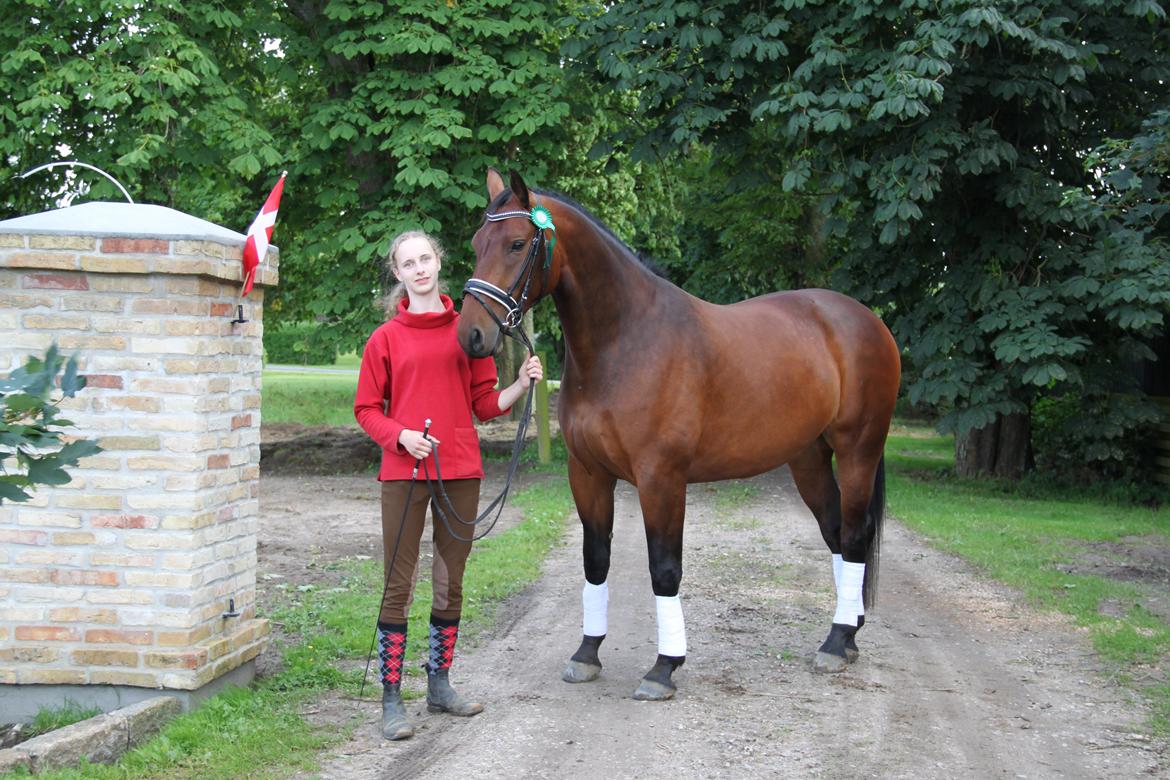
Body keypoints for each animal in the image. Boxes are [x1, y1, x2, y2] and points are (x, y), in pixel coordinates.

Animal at [453, 170, 893, 701]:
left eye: (517, 243)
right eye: (477, 243)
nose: (471, 336)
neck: (626, 340)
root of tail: (863, 319)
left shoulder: (661, 479)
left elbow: (664, 569)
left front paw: (664, 667)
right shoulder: (588, 474)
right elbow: (595, 561)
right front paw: (586, 654)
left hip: (857, 451)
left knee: (854, 534)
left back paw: (836, 642)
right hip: (808, 458)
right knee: (835, 533)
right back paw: (847, 633)